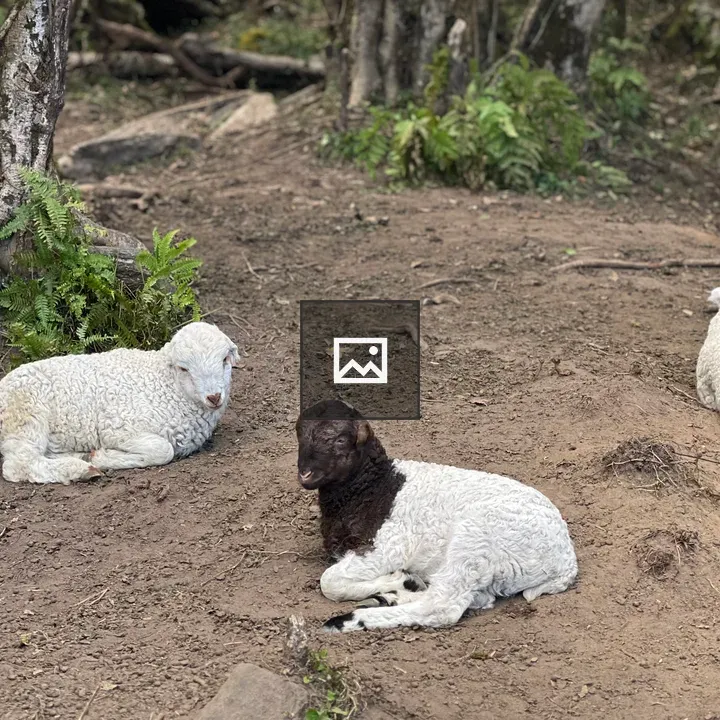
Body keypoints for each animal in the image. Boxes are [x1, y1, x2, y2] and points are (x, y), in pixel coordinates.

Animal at [0, 321, 240, 485]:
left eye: (224, 360)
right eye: (184, 368)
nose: (214, 397)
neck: (167, 385)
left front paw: (97, 455)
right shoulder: (118, 427)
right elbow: (163, 450)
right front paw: (103, 457)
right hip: (26, 417)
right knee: (19, 465)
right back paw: (81, 470)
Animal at [295, 399, 578, 633]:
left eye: (340, 440)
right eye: (300, 435)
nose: (305, 473)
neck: (376, 485)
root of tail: (566, 562)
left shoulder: (385, 547)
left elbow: (329, 581)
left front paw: (397, 578)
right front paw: (399, 583)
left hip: (476, 540)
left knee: (443, 606)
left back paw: (350, 619)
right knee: (477, 598)